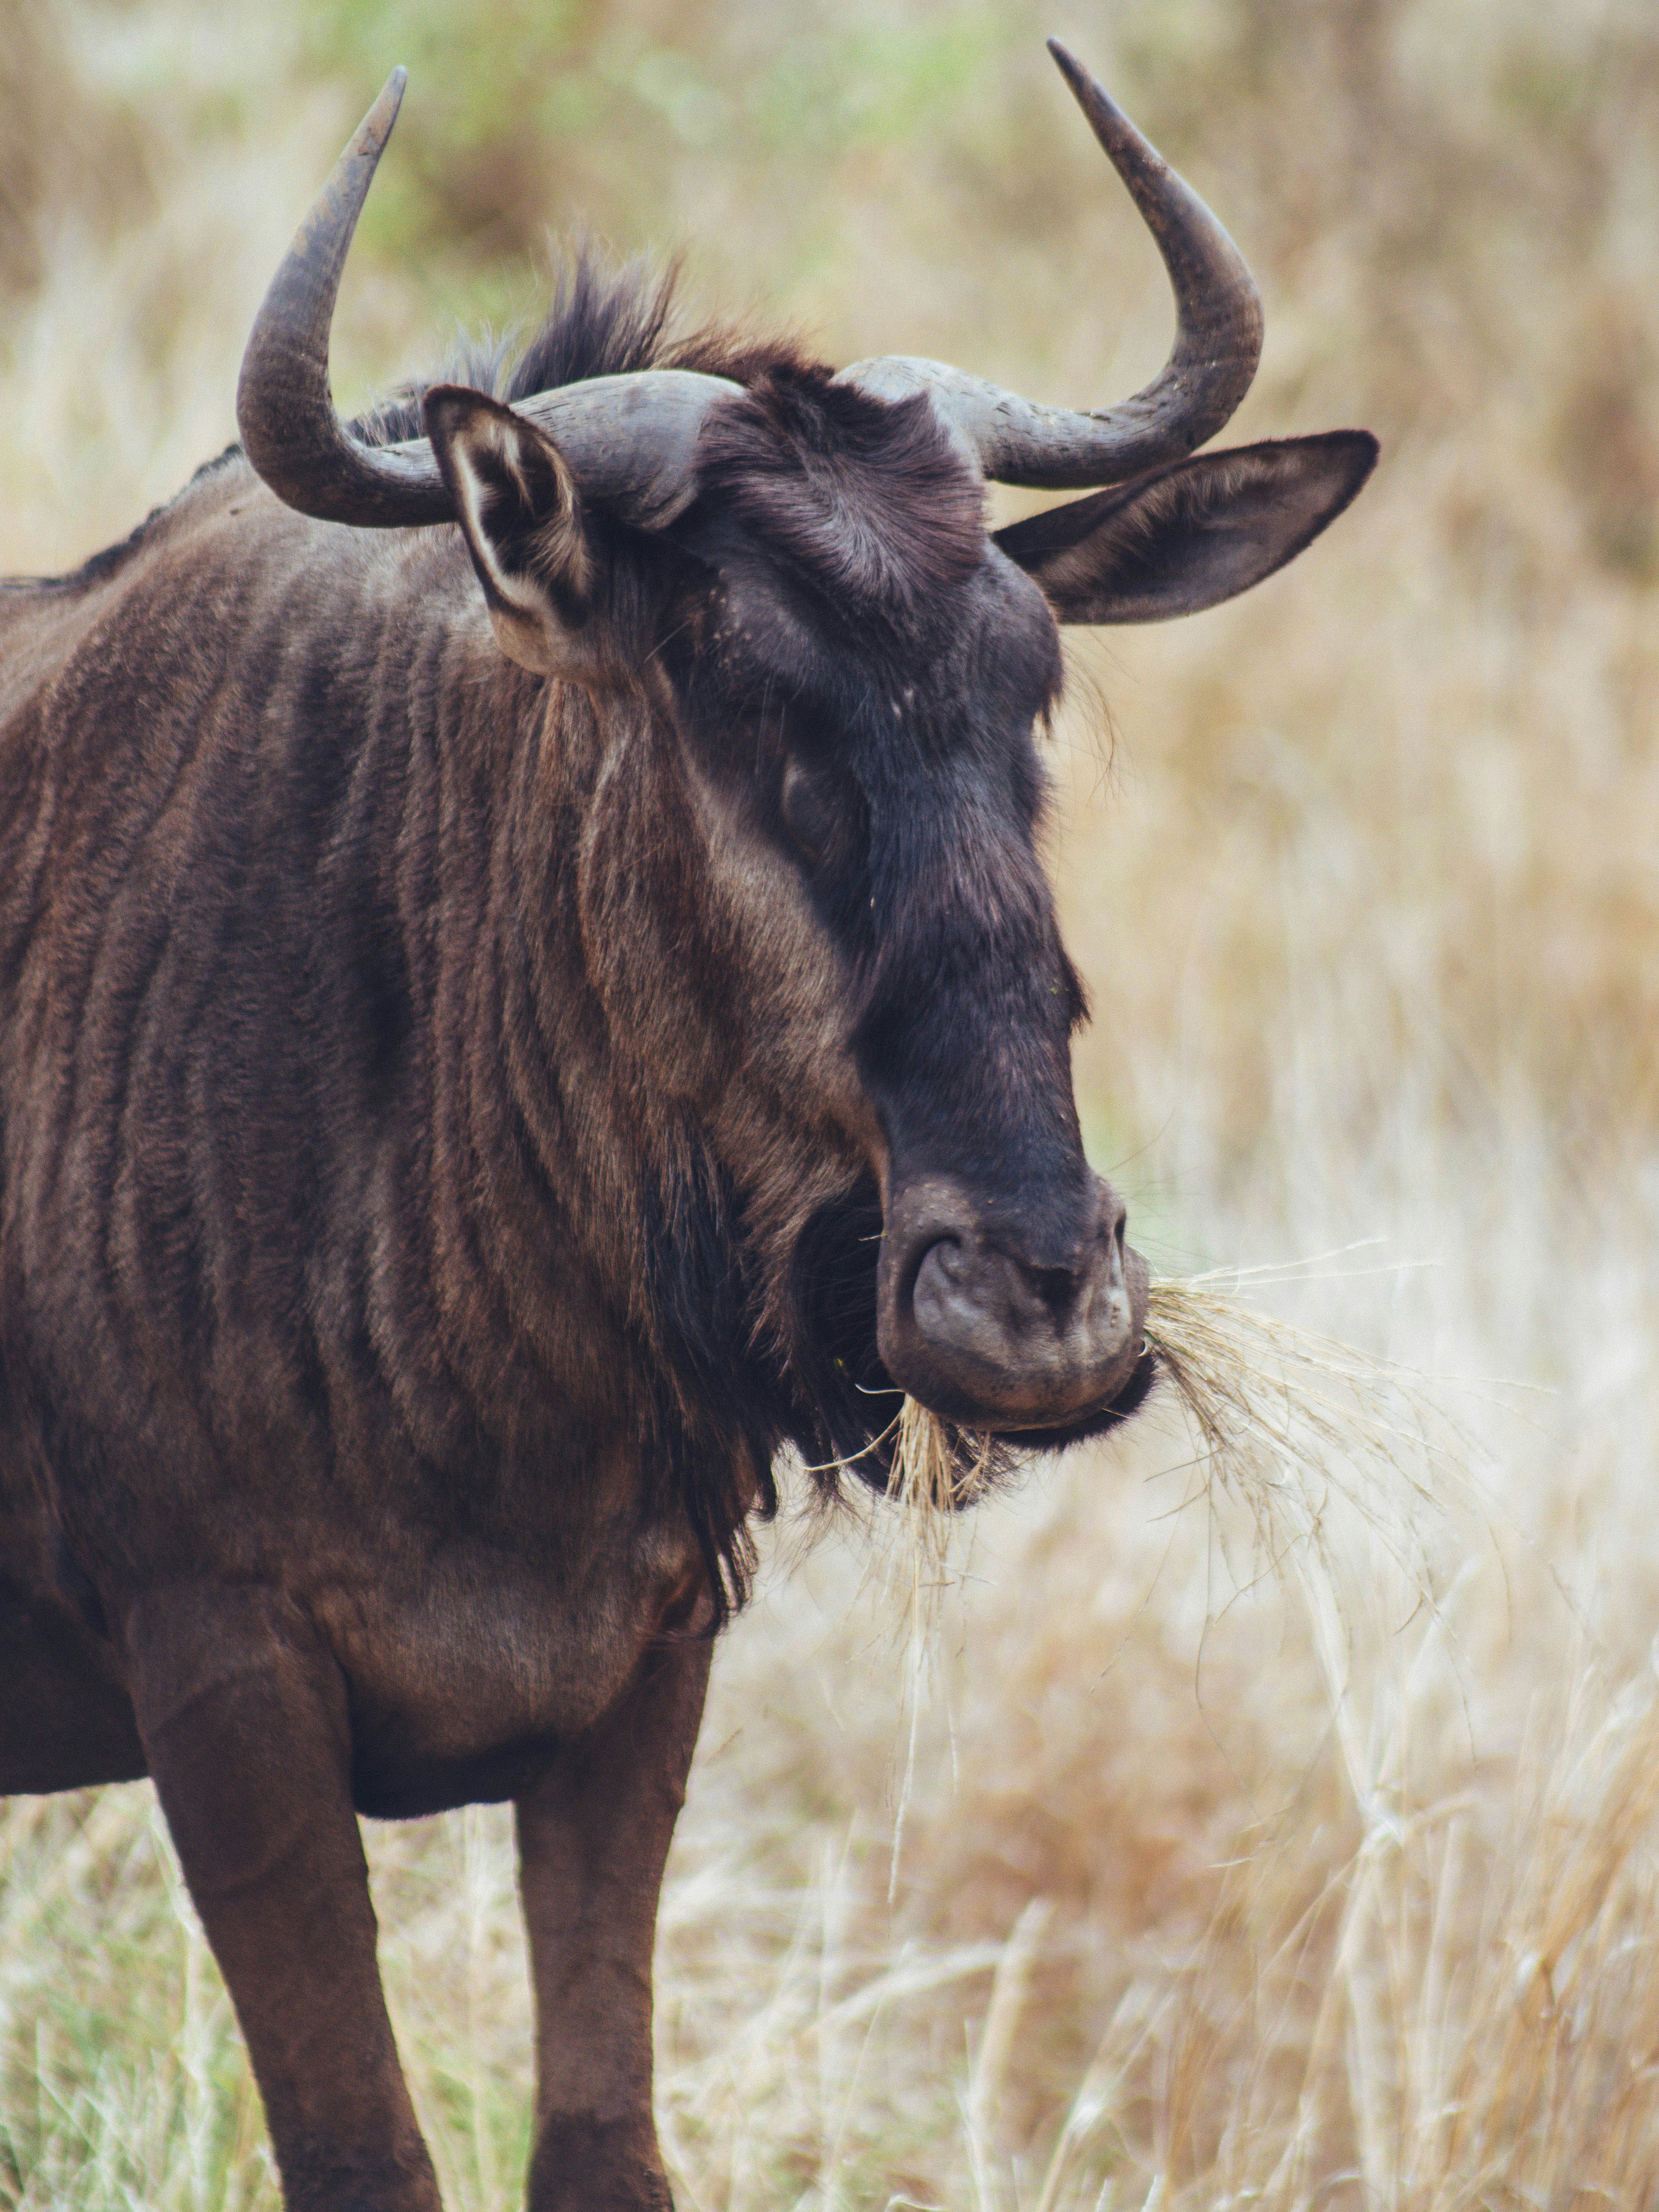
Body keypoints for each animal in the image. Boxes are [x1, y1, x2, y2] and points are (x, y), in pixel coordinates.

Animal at [0, 42, 1375, 2212]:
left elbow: (603, 2146)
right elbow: (367, 2156)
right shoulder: (222, 1693)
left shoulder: (639, 1677)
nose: (1038, 1305)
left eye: (1029, 677)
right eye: (732, 683)